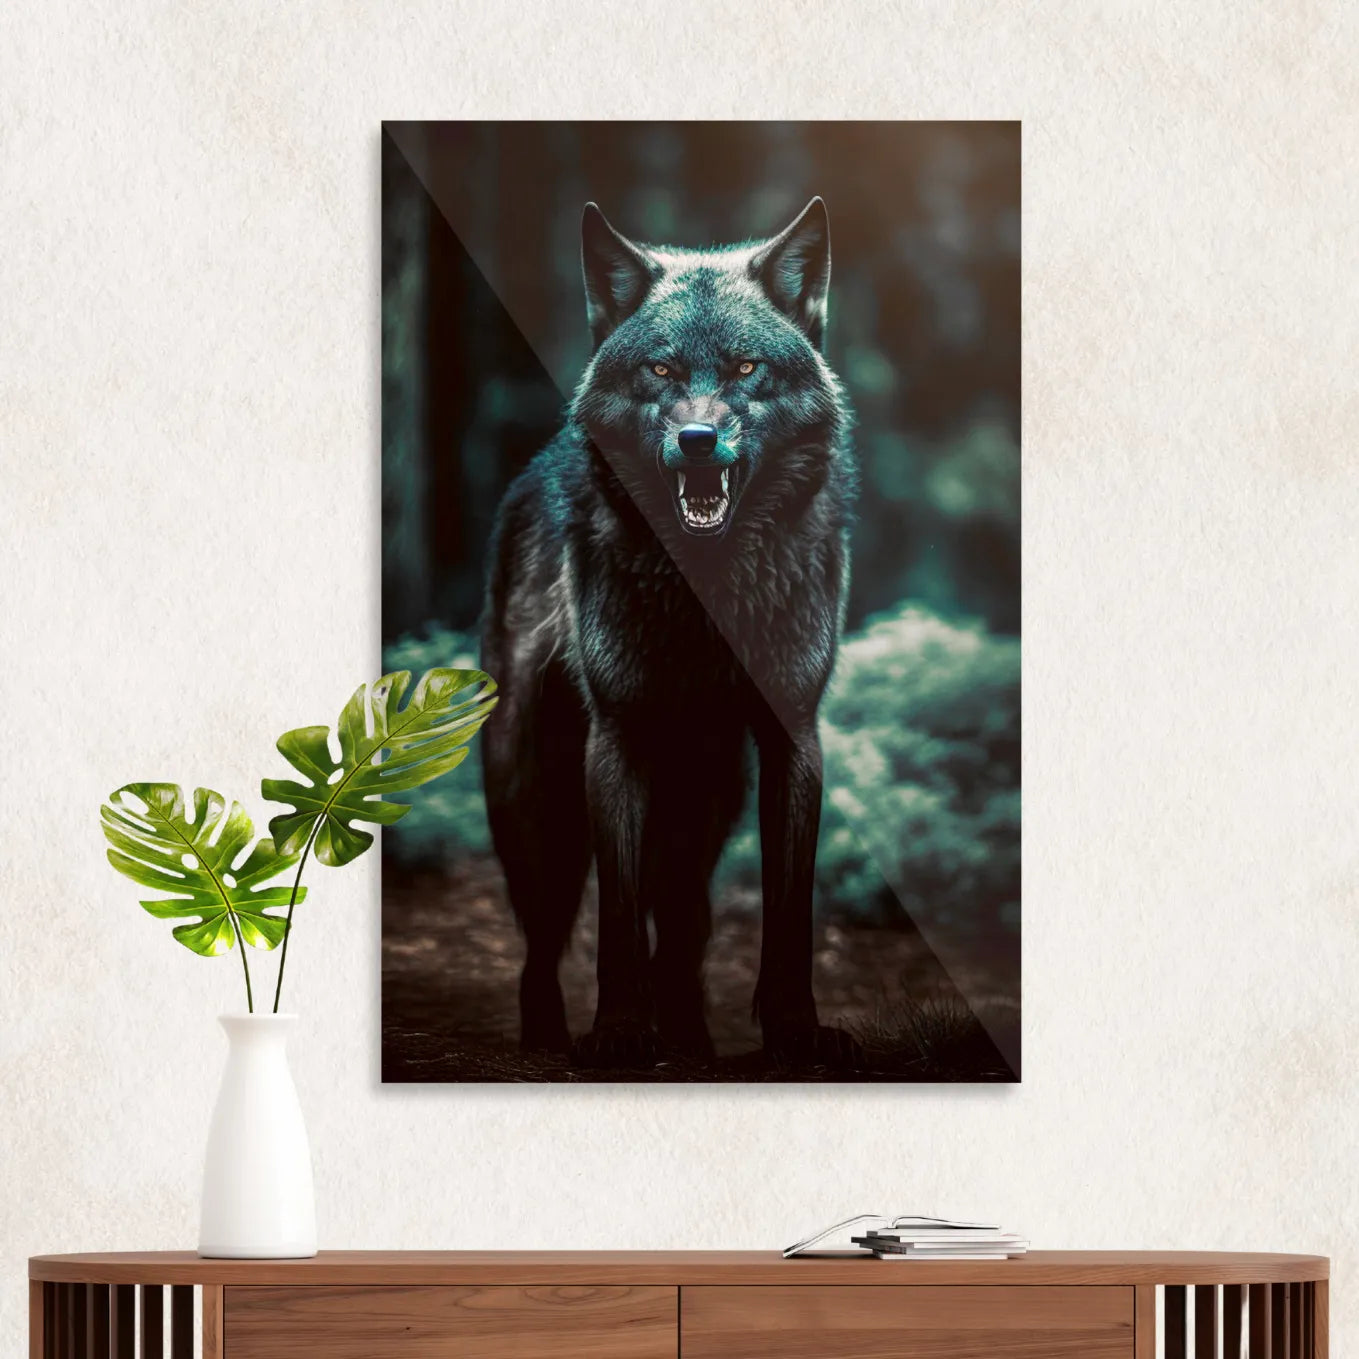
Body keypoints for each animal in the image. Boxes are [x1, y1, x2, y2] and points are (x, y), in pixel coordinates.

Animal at [480, 197, 858, 1069]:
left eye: (747, 369)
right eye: (658, 372)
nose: (696, 440)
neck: (706, 591)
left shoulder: (792, 735)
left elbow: (787, 913)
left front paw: (794, 1029)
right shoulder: (616, 739)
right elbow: (618, 919)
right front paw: (619, 1030)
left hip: (708, 797)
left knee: (684, 925)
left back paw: (689, 1038)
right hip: (536, 797)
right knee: (544, 942)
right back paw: (549, 1038)